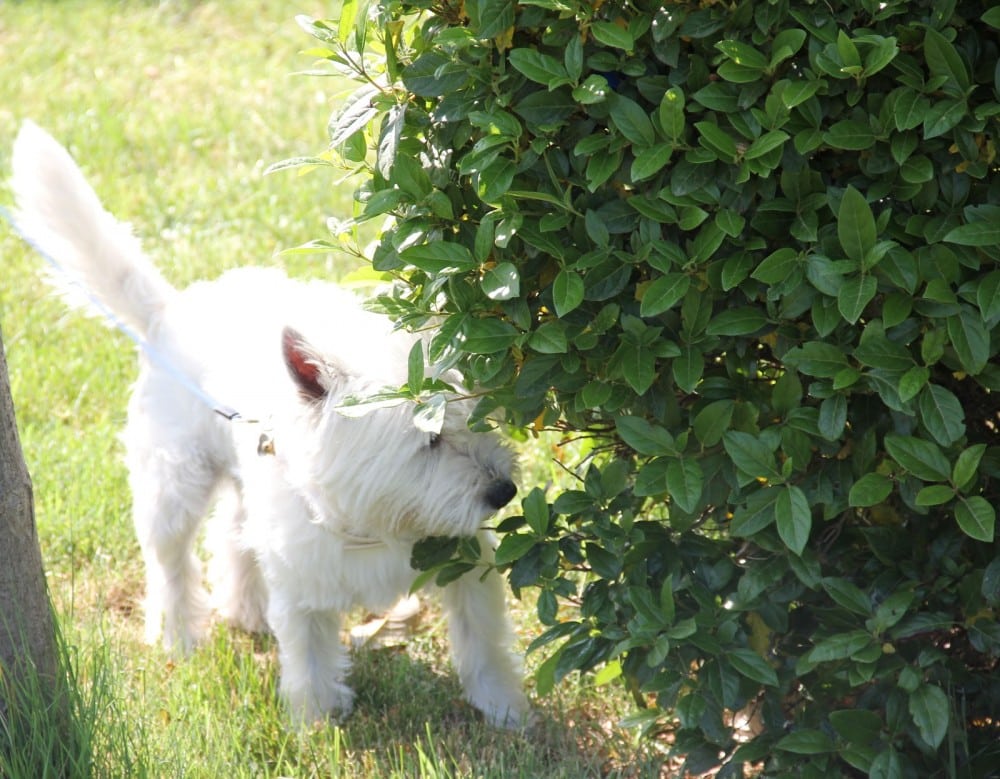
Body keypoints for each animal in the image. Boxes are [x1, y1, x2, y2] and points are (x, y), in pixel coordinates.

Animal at [11, 119, 532, 728]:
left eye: (482, 420)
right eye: (429, 437)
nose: (503, 491)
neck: (373, 525)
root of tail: (171, 310)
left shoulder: (466, 568)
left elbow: (483, 642)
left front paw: (505, 710)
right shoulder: (303, 594)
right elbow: (309, 658)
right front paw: (316, 722)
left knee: (232, 532)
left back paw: (245, 610)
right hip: (173, 483)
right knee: (172, 561)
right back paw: (178, 635)